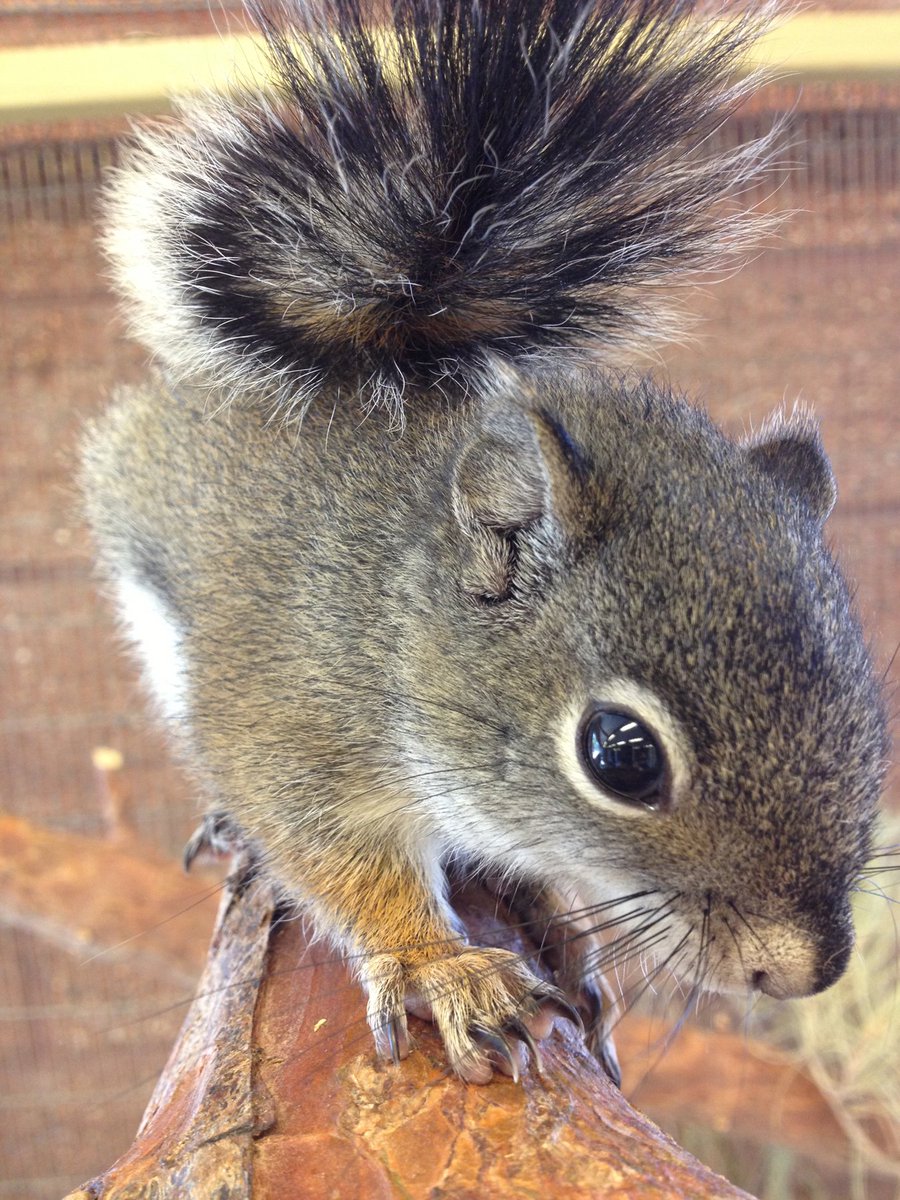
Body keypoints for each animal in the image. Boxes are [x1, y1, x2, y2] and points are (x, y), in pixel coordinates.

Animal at [82, 0, 888, 1085]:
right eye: (621, 755)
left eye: (867, 704)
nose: (804, 969)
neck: (399, 619)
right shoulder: (294, 730)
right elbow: (337, 860)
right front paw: (443, 968)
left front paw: (564, 925)